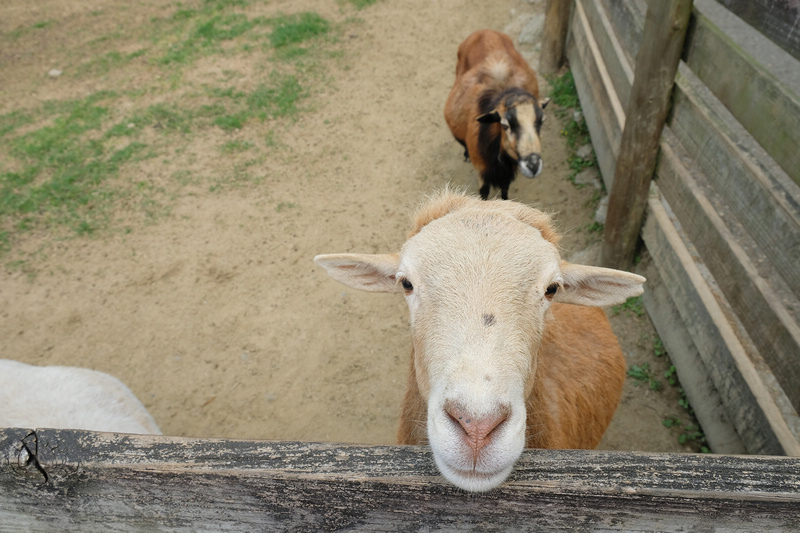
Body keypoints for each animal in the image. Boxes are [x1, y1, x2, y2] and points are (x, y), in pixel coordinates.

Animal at [444, 30, 552, 203]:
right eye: (505, 125)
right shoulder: (482, 170)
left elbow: (505, 191)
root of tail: (484, 31)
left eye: (541, 121)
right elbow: (483, 193)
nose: (533, 165)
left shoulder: (507, 173)